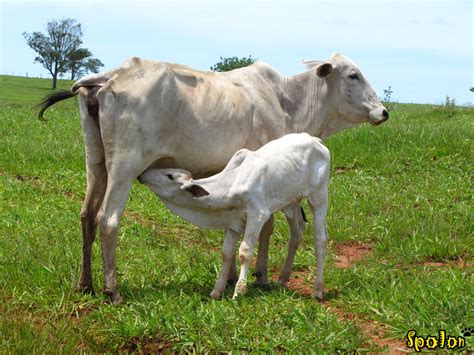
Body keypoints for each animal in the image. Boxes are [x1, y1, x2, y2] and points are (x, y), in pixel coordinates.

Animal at [137, 134, 330, 300]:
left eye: (169, 176)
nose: (142, 174)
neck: (231, 184)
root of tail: (316, 140)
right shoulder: (233, 223)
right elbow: (227, 254)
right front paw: (216, 291)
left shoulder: (258, 215)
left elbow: (244, 252)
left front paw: (239, 291)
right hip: (291, 202)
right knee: (296, 233)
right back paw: (283, 279)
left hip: (319, 196)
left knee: (320, 239)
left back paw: (317, 289)